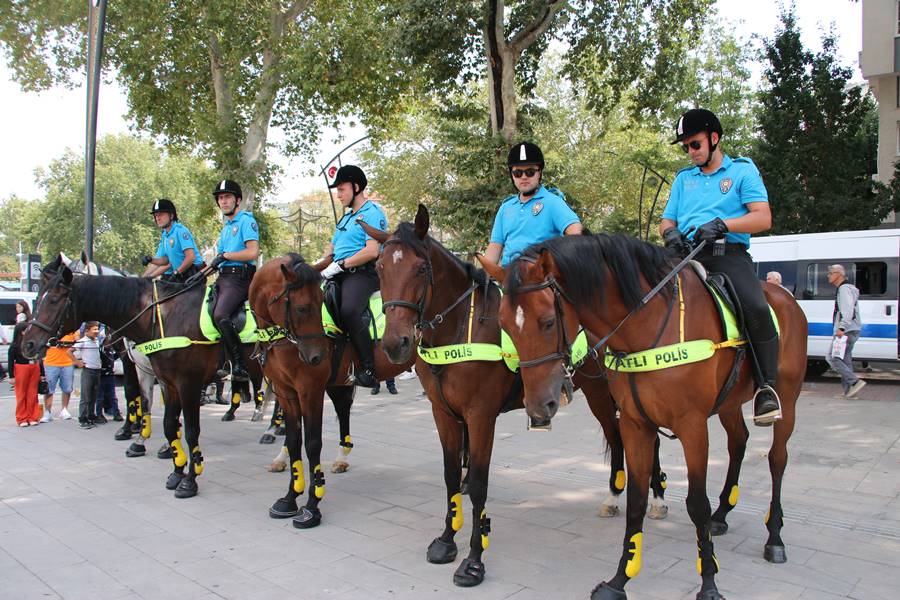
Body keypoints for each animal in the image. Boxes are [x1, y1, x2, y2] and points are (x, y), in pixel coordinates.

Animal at [21, 253, 264, 496]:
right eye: (38, 298)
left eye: (54, 300)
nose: (28, 344)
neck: (161, 315)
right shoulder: (161, 379)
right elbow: (162, 418)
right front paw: (172, 467)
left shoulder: (188, 384)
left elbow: (191, 430)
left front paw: (190, 479)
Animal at [358, 204, 668, 588]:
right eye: (380, 269)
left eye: (420, 268)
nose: (394, 343)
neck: (460, 328)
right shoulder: (442, 414)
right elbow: (450, 476)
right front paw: (446, 540)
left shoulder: (480, 416)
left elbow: (478, 484)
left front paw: (474, 559)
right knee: (623, 440)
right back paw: (614, 497)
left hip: (614, 395)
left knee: (638, 441)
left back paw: (655, 498)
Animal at [482, 234, 804, 600]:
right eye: (504, 326)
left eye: (548, 321)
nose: (538, 406)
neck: (646, 326)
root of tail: (784, 296)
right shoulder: (636, 424)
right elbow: (636, 501)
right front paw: (619, 579)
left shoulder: (692, 427)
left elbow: (697, 504)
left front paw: (709, 583)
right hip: (728, 403)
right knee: (738, 442)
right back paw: (723, 514)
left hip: (787, 400)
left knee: (777, 459)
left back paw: (774, 537)